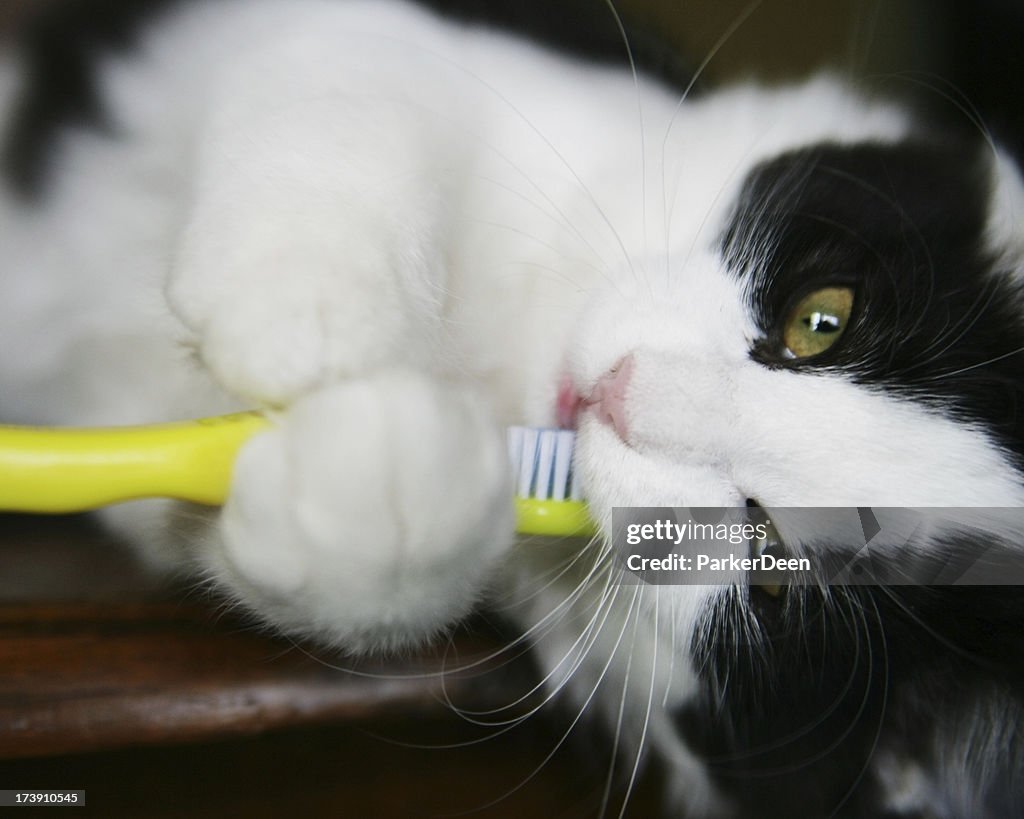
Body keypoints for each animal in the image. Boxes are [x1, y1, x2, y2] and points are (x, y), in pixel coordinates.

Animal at [2, 0, 1024, 814]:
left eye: (773, 571)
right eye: (821, 319)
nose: (621, 394)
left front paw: (379, 480)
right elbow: (355, 80)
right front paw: (302, 308)